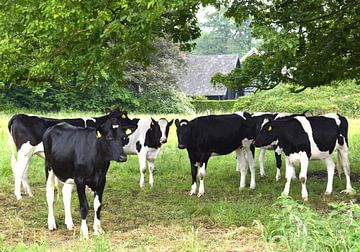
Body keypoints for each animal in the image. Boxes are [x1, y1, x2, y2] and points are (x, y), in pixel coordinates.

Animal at [8, 109, 136, 200]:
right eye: (124, 116)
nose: (135, 123)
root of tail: (19, 115)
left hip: (27, 154)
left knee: (24, 171)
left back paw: (29, 194)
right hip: (25, 151)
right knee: (19, 170)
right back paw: (18, 196)